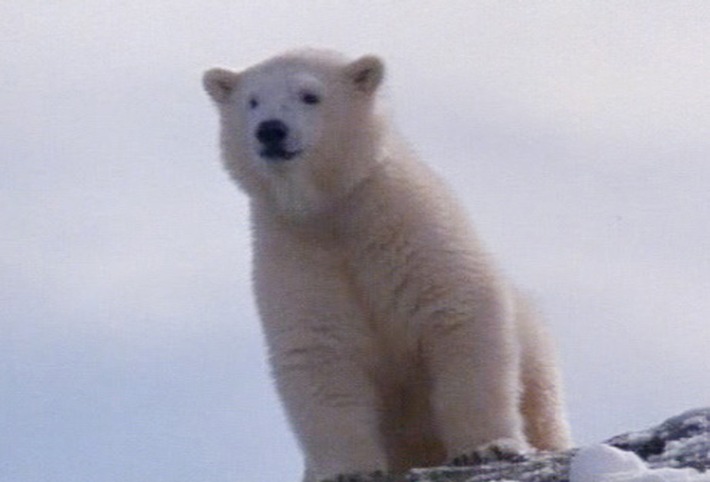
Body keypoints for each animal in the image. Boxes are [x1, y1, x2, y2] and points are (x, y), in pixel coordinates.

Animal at [204, 48, 572, 478]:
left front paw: (487, 447)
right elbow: (320, 356)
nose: (271, 130)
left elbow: (459, 319)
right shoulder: (298, 258)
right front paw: (349, 470)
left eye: (310, 95)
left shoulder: (411, 231)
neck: (331, 211)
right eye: (252, 101)